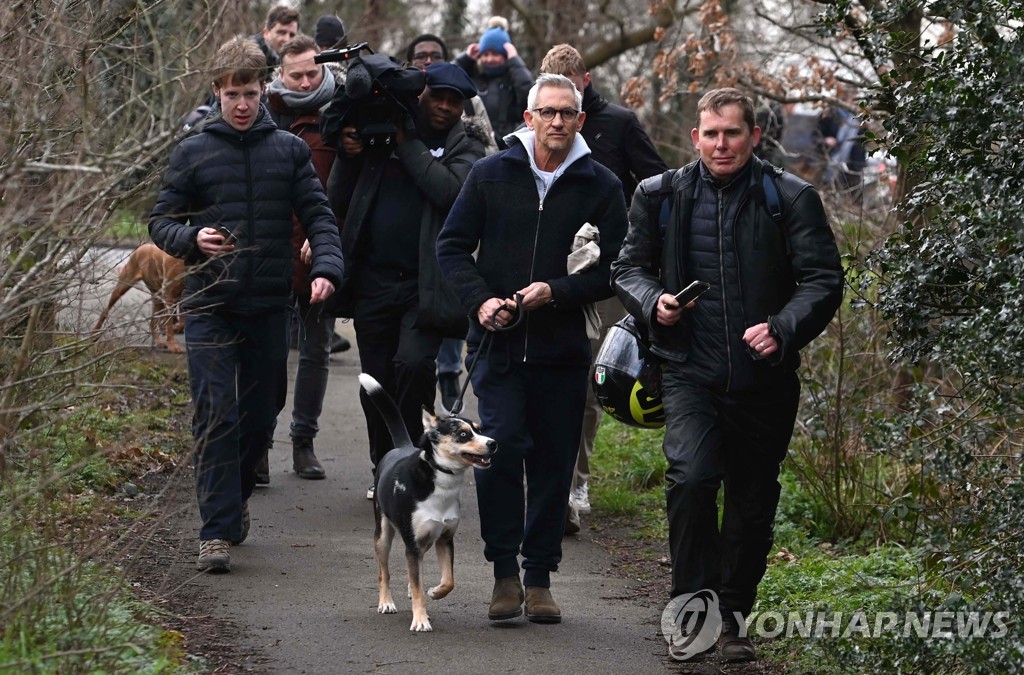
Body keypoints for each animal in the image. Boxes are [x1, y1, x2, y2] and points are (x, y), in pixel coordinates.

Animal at [358, 374, 497, 635]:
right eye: (463, 434)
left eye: (479, 430)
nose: (493, 443)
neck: (440, 480)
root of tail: (402, 446)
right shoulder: (412, 546)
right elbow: (415, 584)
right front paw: (420, 620)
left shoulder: (445, 539)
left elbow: (448, 581)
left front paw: (434, 592)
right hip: (383, 535)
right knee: (384, 573)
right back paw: (386, 602)